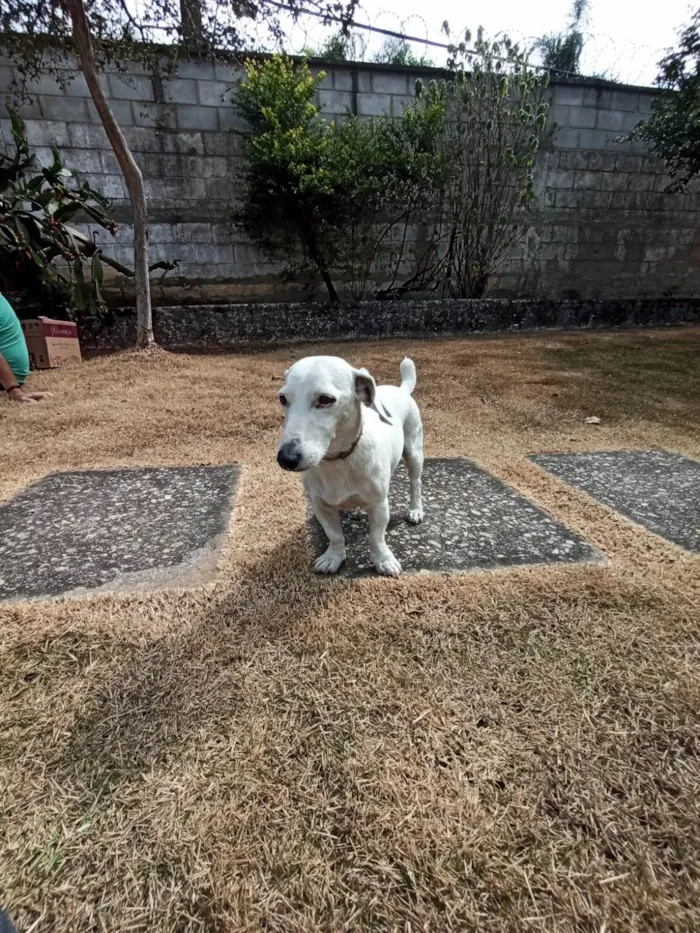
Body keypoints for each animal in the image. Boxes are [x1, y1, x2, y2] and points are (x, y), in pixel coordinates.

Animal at [276, 354, 424, 576]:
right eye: (283, 399)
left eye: (325, 399)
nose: (286, 458)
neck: (338, 461)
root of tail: (401, 389)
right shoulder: (320, 505)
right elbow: (335, 535)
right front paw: (333, 557)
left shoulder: (379, 504)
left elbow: (376, 537)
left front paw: (383, 559)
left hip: (414, 451)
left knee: (415, 482)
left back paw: (415, 509)